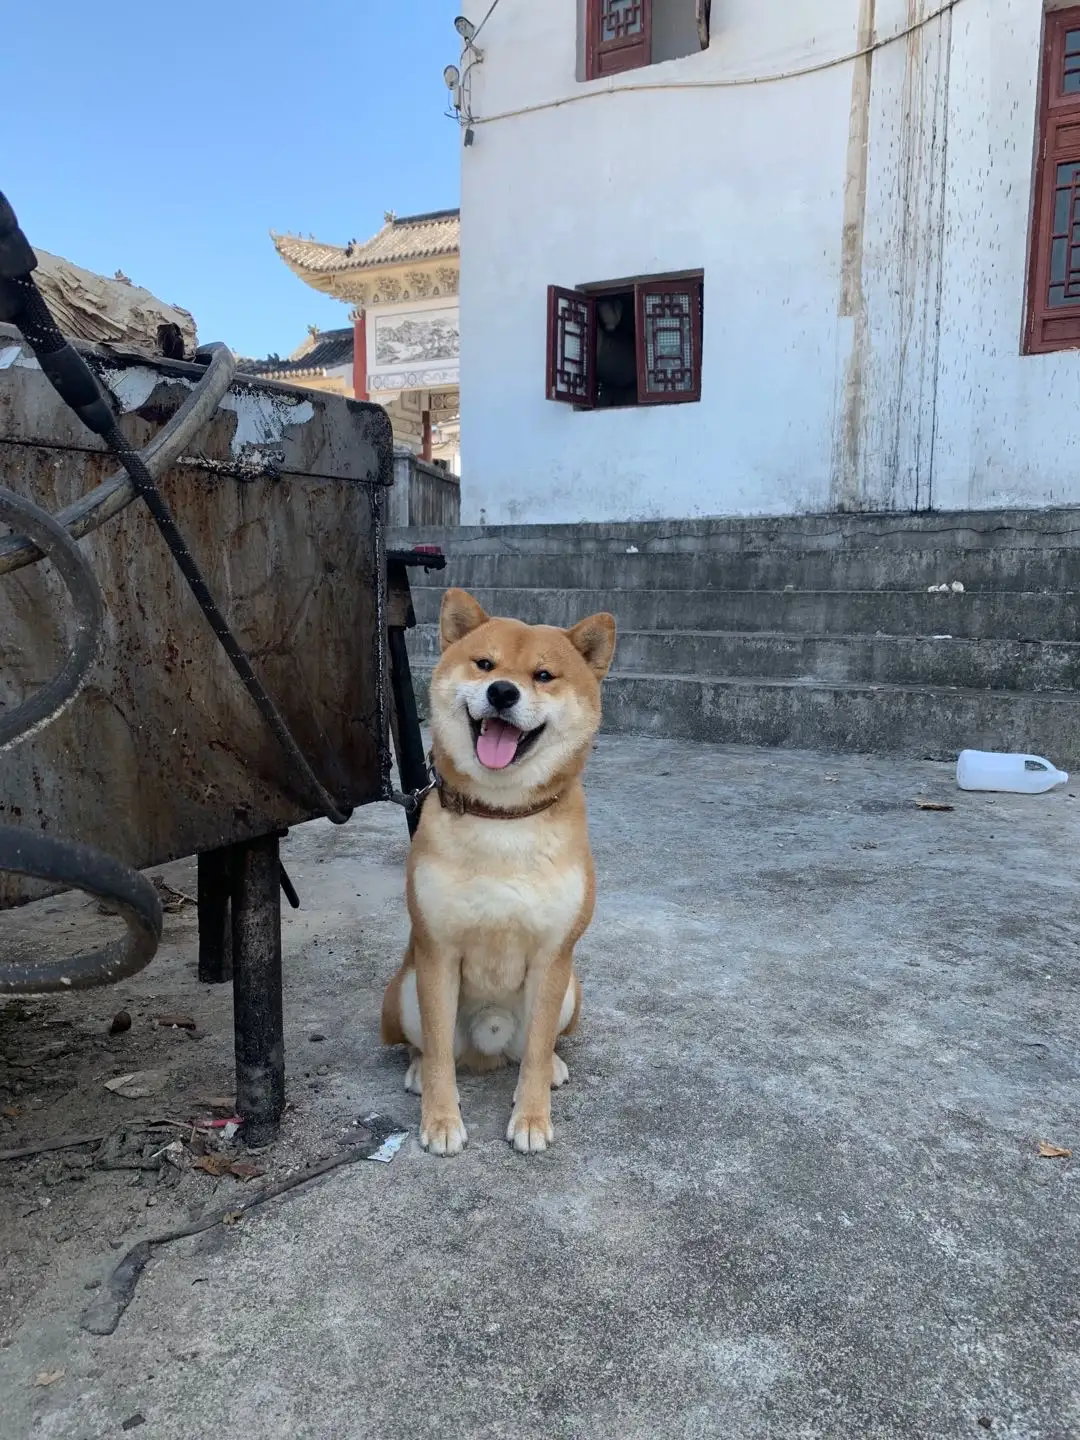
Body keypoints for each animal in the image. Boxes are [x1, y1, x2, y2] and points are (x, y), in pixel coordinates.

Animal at [380, 584, 616, 1157]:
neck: (503, 817)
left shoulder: (554, 956)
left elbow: (534, 1051)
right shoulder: (437, 951)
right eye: (484, 664)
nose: (503, 692)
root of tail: (487, 1051)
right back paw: (417, 1071)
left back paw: (554, 1066)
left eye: (544, 675)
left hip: (571, 990)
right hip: (404, 989)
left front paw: (532, 1116)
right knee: (427, 1046)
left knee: (536, 1044)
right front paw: (440, 1119)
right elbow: (439, 1052)